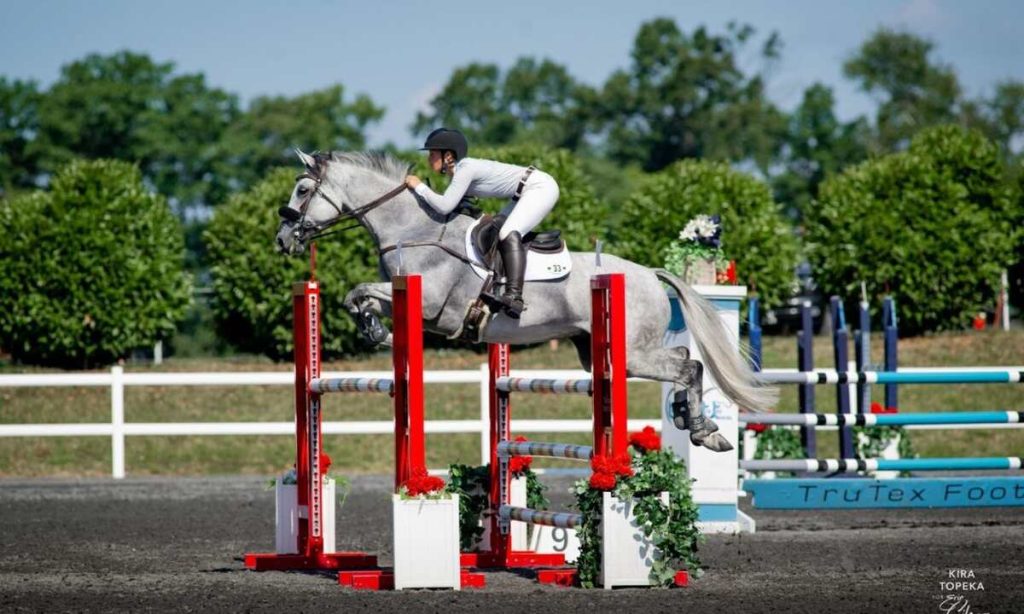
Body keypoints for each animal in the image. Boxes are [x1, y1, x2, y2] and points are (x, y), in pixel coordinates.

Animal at [276, 149, 770, 450]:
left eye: (302, 190)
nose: (282, 240)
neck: (415, 229)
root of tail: (649, 273)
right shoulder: (407, 301)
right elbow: (357, 297)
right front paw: (374, 328)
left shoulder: (432, 306)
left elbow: (360, 291)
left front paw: (375, 330)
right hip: (606, 355)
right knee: (685, 359)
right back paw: (693, 421)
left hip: (631, 353)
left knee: (689, 365)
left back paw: (704, 431)